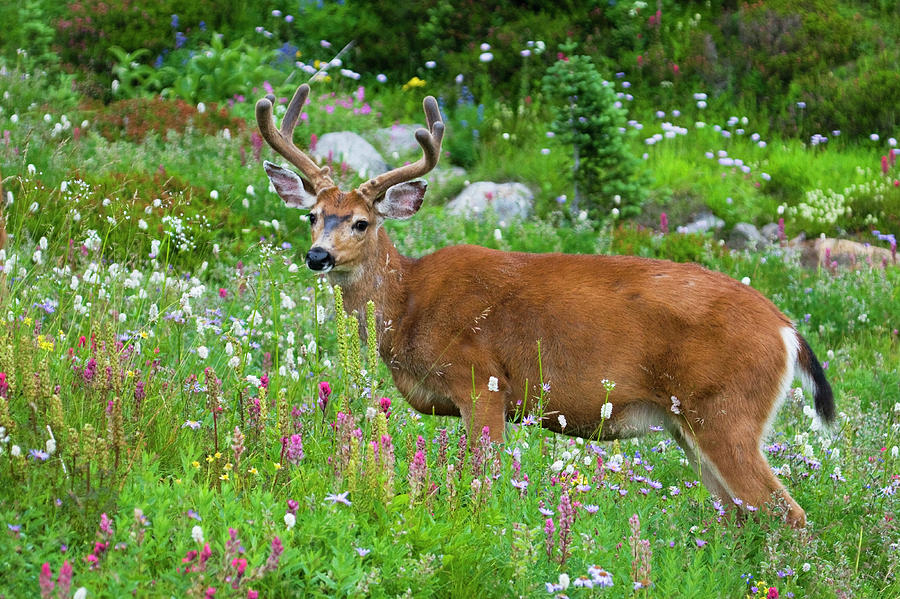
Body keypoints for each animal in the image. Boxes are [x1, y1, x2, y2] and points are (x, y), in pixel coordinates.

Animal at [253, 83, 828, 524]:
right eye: (312, 215)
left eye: (360, 222)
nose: (318, 255)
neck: (408, 304)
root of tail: (788, 330)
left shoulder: (482, 381)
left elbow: (483, 479)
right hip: (692, 423)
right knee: (739, 515)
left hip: (727, 410)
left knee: (789, 514)